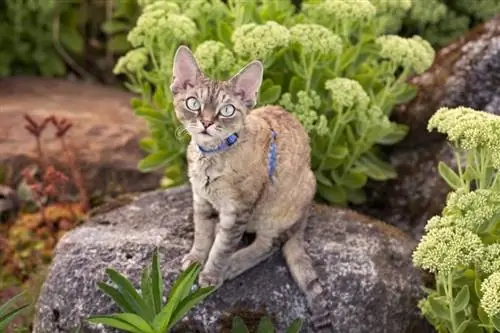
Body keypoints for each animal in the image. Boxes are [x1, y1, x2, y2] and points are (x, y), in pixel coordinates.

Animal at [170, 45, 330, 328]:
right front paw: (195, 259)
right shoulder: (201, 200)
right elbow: (202, 233)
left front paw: (211, 274)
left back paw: (234, 264)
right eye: (193, 103)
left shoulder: (238, 210)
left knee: (268, 246)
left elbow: (221, 247)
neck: (212, 158)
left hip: (276, 212)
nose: (207, 122)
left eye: (227, 110)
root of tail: (304, 215)